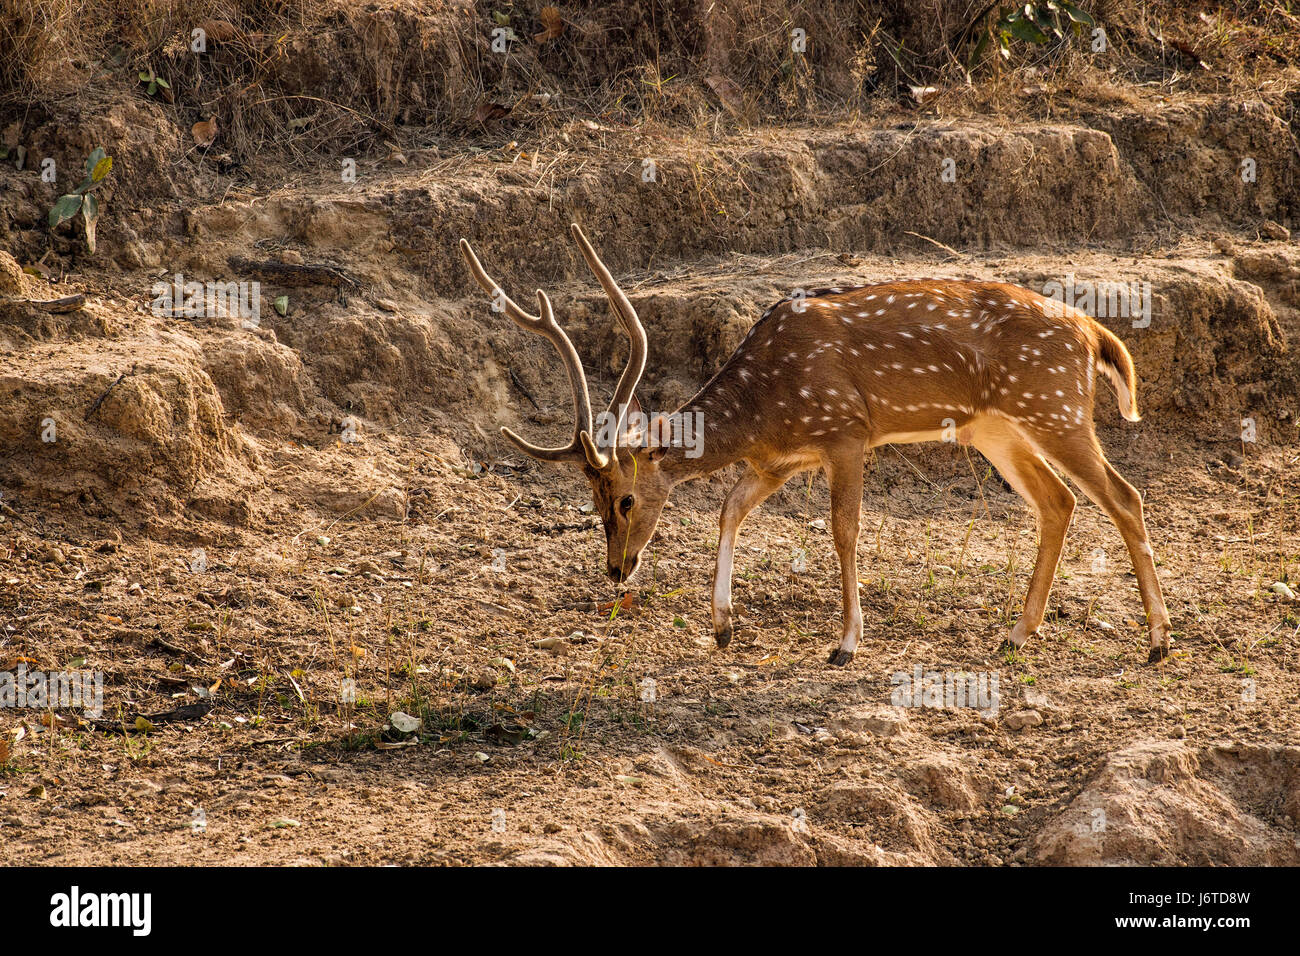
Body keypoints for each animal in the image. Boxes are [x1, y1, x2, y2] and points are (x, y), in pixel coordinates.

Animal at [460, 227, 1180, 671]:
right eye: (591, 499)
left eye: (626, 499)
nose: (616, 568)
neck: (765, 406)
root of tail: (1093, 332)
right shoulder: (781, 460)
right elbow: (729, 510)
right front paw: (722, 625)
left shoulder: (846, 431)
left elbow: (844, 529)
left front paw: (846, 645)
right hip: (996, 428)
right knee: (1057, 501)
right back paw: (1015, 634)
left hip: (1054, 407)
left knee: (1124, 495)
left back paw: (1157, 641)